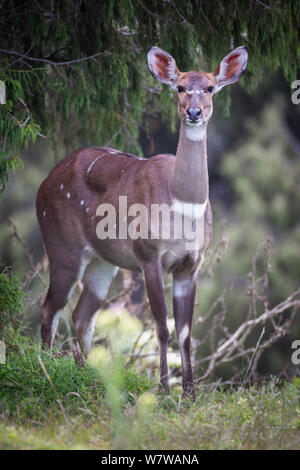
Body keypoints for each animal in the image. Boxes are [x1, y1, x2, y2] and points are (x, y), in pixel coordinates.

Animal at [37, 44, 248, 398]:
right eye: (179, 87)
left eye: (209, 87)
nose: (194, 112)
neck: (181, 205)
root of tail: (42, 186)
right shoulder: (149, 255)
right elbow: (162, 326)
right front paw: (163, 390)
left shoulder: (191, 263)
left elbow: (185, 332)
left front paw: (189, 394)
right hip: (62, 247)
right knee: (51, 308)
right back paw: (48, 370)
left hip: (102, 262)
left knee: (81, 314)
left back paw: (88, 374)